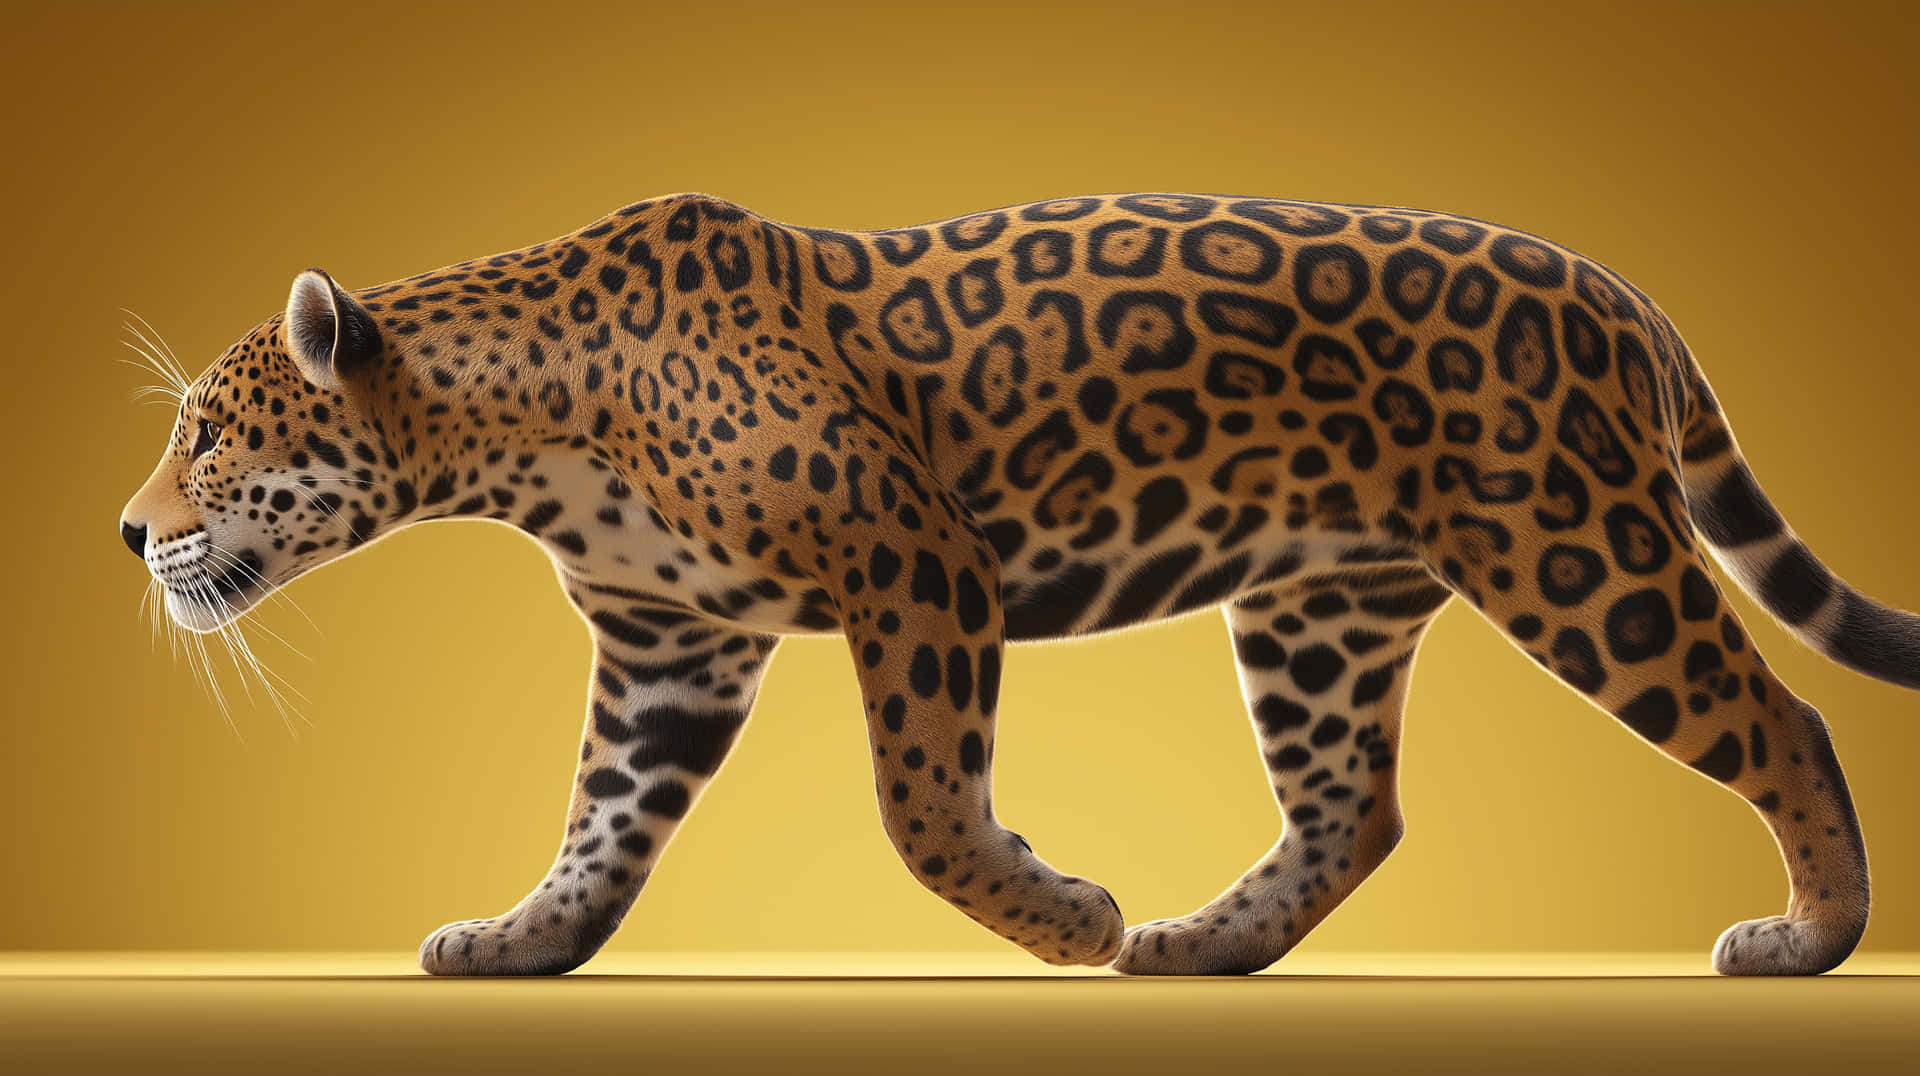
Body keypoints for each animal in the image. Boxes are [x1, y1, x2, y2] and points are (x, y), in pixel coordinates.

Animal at [119, 191, 1918, 977]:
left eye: (206, 438)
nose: (130, 536)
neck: (519, 428)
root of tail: (1618, 288)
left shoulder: (911, 555)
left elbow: (922, 805)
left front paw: (1059, 916)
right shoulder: (671, 644)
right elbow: (605, 819)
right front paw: (526, 939)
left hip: (1574, 546)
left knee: (1786, 719)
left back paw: (1811, 938)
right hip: (1322, 608)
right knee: (1354, 807)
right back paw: (1202, 947)